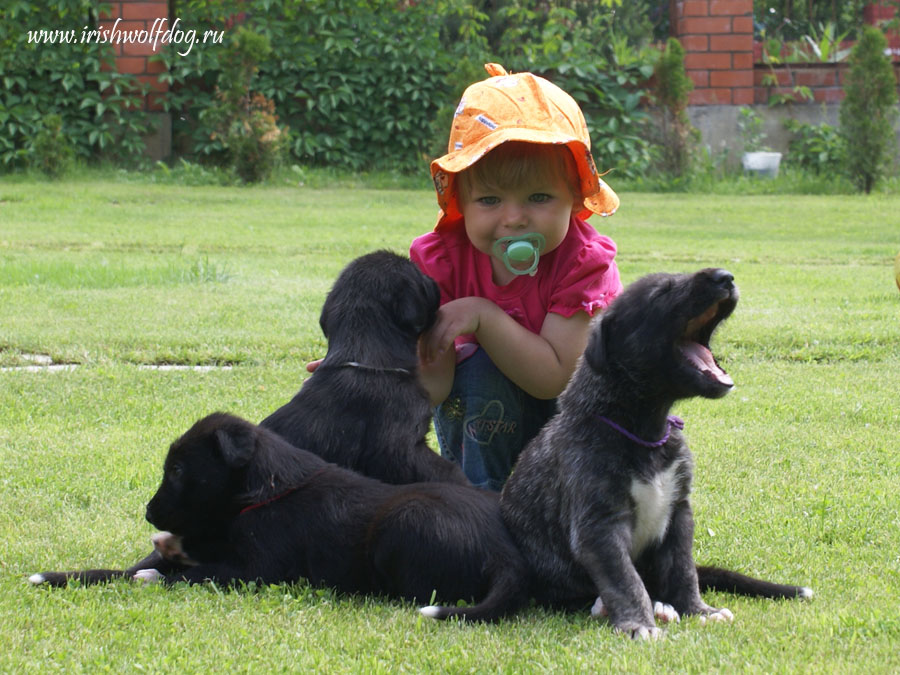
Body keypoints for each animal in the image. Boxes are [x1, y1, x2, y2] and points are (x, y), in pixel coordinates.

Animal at [131, 412, 528, 624]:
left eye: (177, 470)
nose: (149, 513)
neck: (266, 488)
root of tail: (505, 556)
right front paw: (167, 550)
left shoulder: (256, 570)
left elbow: (197, 574)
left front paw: (153, 575)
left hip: (405, 519)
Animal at [496, 268, 812, 640]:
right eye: (661, 292)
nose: (725, 276)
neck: (645, 433)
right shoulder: (599, 525)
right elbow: (624, 579)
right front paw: (638, 624)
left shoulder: (679, 512)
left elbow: (683, 569)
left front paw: (697, 610)